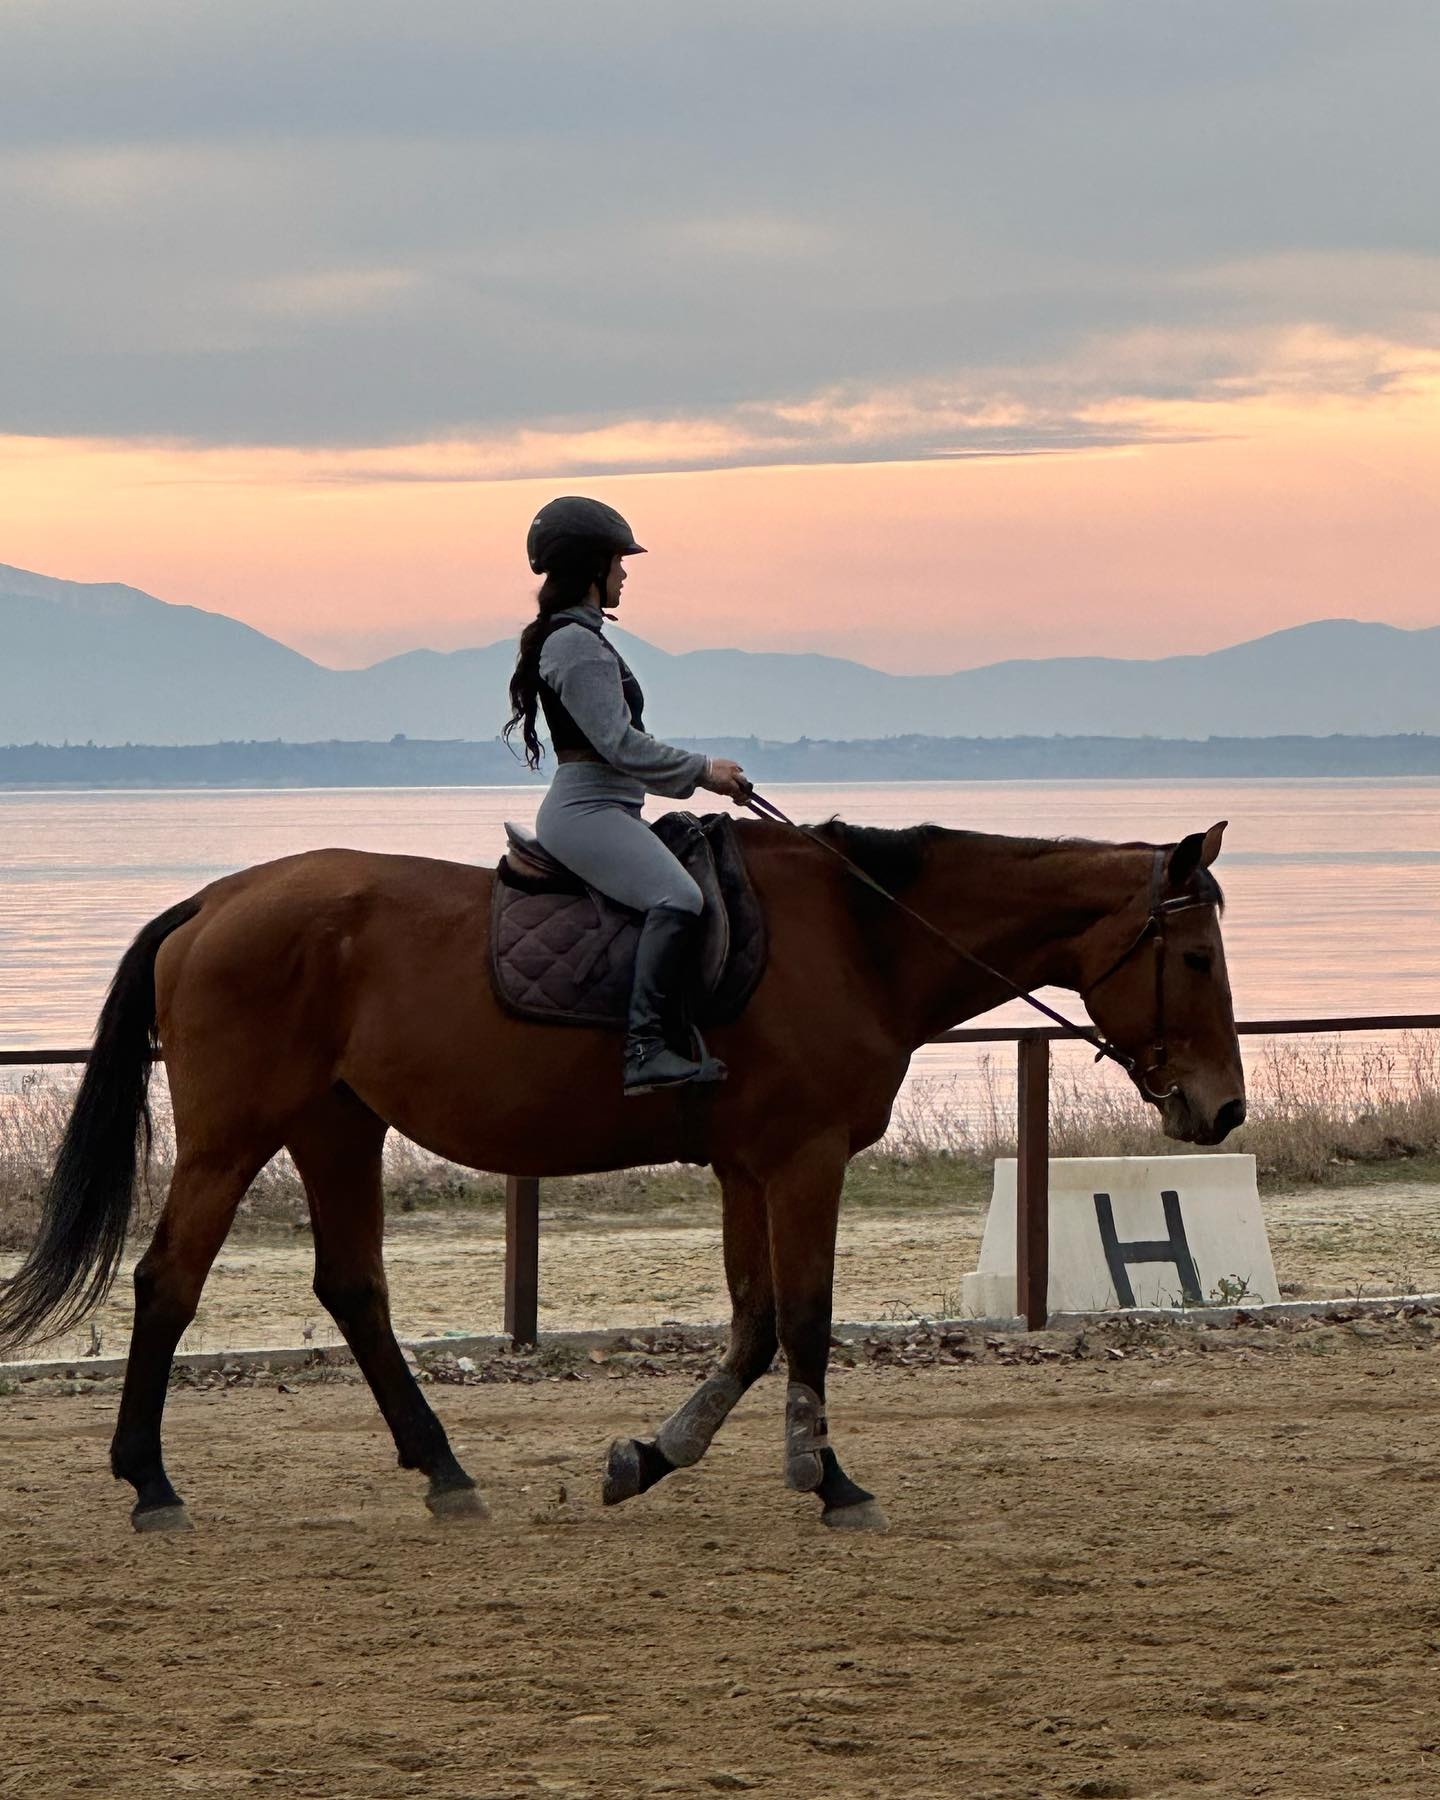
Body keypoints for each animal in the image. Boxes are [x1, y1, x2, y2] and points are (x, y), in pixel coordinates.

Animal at [0, 817, 1245, 1533]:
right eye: (1194, 958)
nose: (1222, 1107)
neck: (859, 933)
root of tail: (215, 902)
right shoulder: (800, 1160)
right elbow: (805, 1317)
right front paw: (829, 1481)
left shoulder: (750, 1166)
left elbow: (753, 1325)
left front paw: (650, 1457)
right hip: (234, 1135)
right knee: (169, 1282)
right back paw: (151, 1485)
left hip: (333, 1126)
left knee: (352, 1289)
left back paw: (444, 1473)